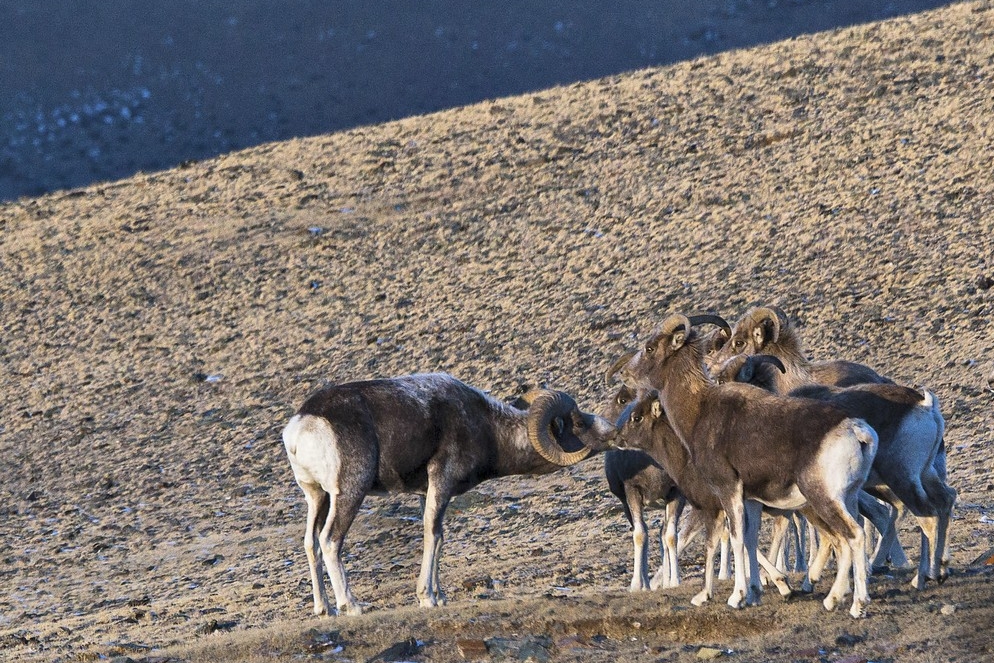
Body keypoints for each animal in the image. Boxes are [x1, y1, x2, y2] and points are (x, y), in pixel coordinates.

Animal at [282, 374, 616, 616]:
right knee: (330, 541)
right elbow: (434, 534)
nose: (613, 432)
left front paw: (439, 596)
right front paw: (428, 598)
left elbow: (436, 536)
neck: (488, 427)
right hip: (349, 493)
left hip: (318, 497)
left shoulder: (425, 493)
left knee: (311, 543)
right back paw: (351, 606)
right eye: (579, 423)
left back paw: (324, 610)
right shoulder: (441, 482)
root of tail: (301, 427)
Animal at [620, 314, 876, 620]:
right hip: (848, 499)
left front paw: (736, 597)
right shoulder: (750, 499)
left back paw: (857, 605)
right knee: (848, 536)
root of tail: (857, 431)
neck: (700, 411)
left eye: (649, 348)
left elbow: (734, 538)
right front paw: (754, 594)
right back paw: (832, 599)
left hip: (823, 500)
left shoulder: (727, 491)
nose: (625, 374)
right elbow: (750, 540)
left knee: (854, 536)